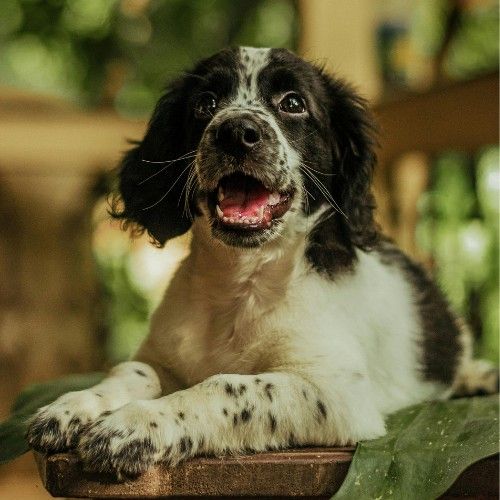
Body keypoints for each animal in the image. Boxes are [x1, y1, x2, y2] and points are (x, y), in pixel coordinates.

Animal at [26, 46, 496, 476]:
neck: (242, 285)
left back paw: (476, 376)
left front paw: (138, 423)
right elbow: (133, 371)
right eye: (205, 103)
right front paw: (75, 405)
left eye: (293, 103)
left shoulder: (338, 391)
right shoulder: (161, 357)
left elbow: (229, 386)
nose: (236, 132)